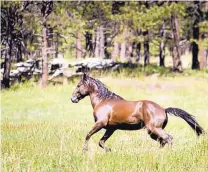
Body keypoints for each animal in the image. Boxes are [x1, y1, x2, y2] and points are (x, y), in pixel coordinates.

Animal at [70, 73, 204, 151]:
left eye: (78, 85)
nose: (73, 99)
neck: (103, 100)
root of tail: (163, 109)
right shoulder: (111, 128)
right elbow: (101, 142)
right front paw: (109, 150)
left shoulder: (101, 123)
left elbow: (88, 135)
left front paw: (85, 150)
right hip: (152, 132)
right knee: (163, 141)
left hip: (154, 129)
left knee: (168, 138)